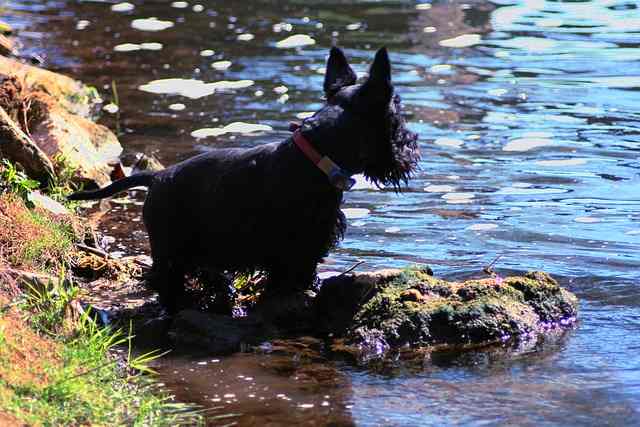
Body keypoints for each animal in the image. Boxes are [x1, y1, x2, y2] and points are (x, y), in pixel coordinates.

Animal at [70, 47, 420, 314]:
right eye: (397, 116)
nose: (412, 145)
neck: (317, 154)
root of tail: (157, 177)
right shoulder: (301, 241)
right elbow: (297, 269)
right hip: (171, 249)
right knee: (168, 281)